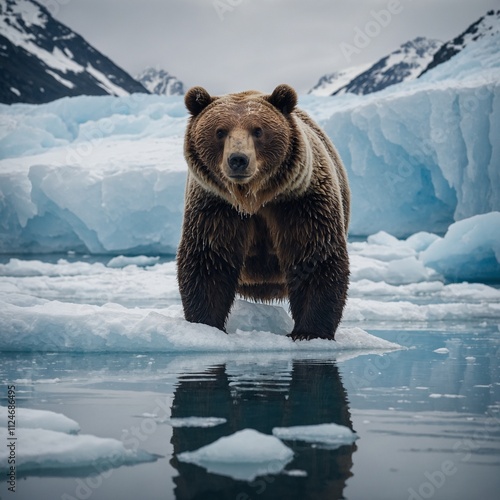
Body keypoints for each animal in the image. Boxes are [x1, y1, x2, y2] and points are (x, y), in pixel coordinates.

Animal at [178, 85, 350, 340]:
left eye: (258, 130)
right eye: (220, 131)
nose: (238, 159)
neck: (253, 198)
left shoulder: (300, 203)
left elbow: (314, 257)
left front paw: (309, 332)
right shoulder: (216, 208)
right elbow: (209, 259)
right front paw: (206, 325)